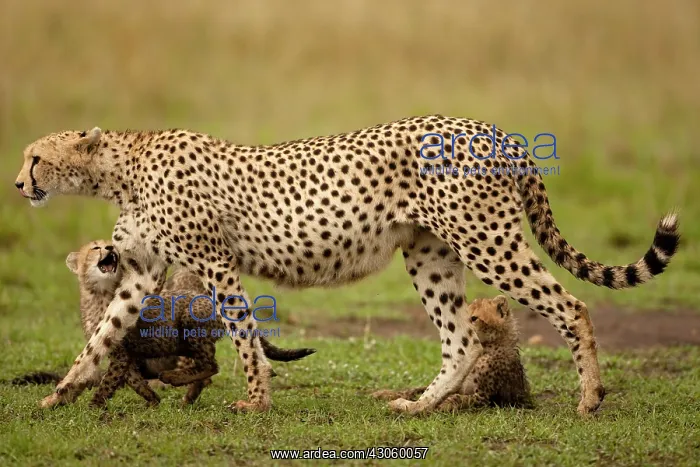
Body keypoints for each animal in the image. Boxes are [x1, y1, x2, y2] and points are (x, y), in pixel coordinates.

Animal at [371, 295, 533, 411]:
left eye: (474, 318)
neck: (489, 346)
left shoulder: (484, 397)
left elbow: (457, 397)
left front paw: (442, 405)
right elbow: (417, 389)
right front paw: (386, 393)